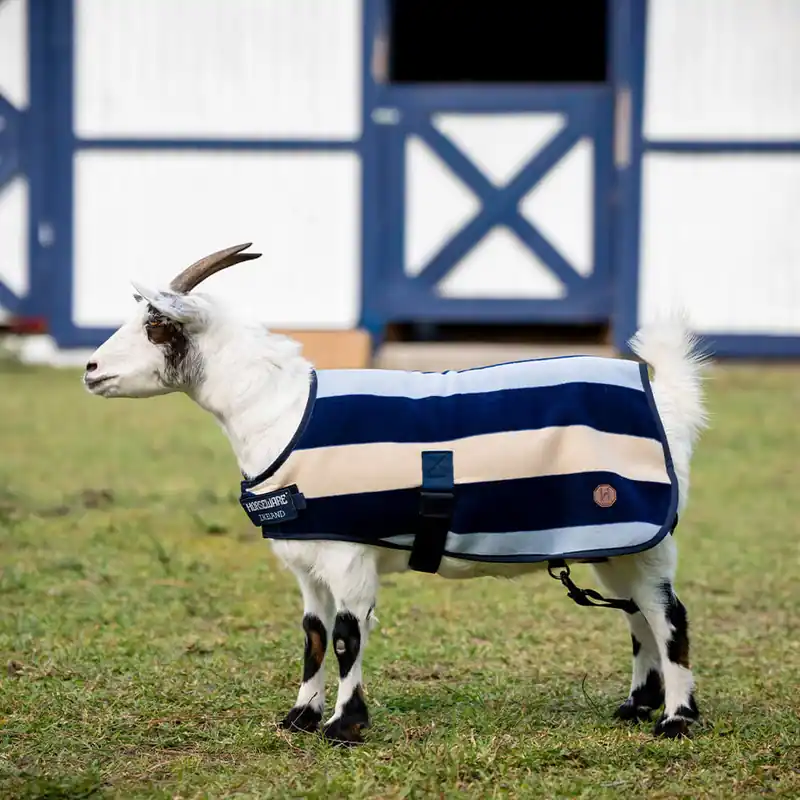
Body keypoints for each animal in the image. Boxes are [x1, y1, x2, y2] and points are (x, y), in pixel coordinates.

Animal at [84, 243, 708, 745]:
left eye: (157, 327)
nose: (90, 369)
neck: (283, 412)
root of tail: (667, 404)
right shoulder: (308, 560)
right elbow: (313, 636)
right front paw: (300, 717)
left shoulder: (348, 554)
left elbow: (346, 636)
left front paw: (345, 725)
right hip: (614, 544)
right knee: (637, 615)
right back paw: (637, 705)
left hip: (644, 537)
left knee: (668, 615)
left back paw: (676, 719)